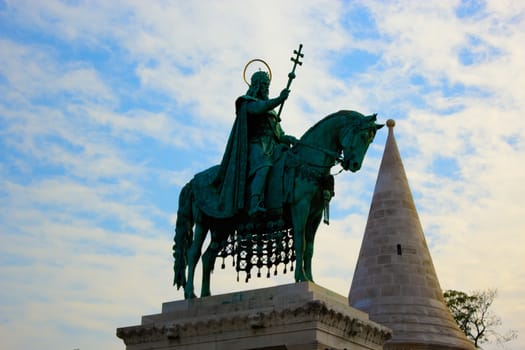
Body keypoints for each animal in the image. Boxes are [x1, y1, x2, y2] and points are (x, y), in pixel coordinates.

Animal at [172, 109, 380, 298]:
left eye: (370, 141)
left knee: (208, 257)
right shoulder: (300, 207)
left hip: (223, 227)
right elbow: (300, 240)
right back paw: (190, 294)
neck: (308, 161)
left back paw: (206, 295)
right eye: (362, 136)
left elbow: (310, 248)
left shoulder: (315, 215)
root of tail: (193, 180)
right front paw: (301, 277)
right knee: (194, 253)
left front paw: (311, 279)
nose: (354, 165)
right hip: (204, 221)